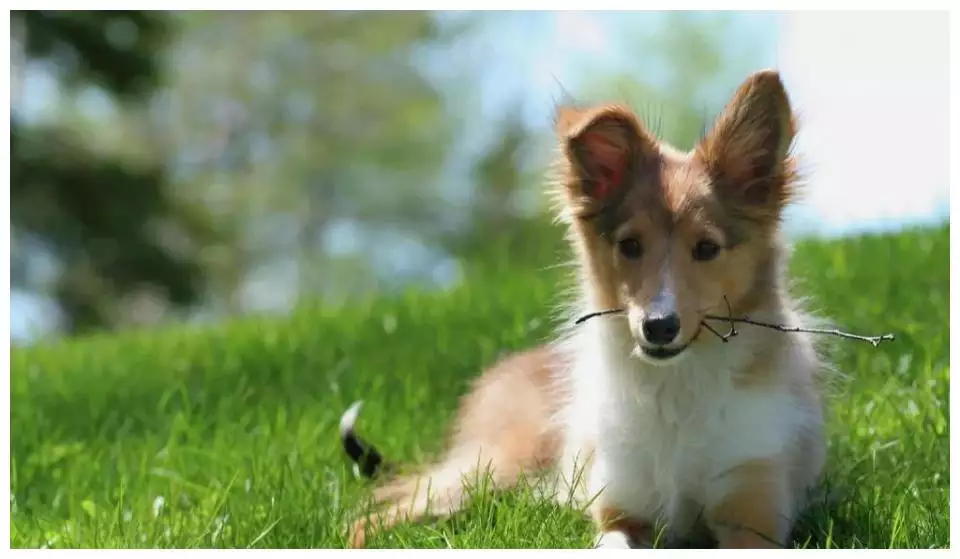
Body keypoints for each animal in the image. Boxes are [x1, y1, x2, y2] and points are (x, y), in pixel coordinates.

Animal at [342, 70, 828, 552]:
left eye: (707, 248)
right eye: (630, 245)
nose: (658, 327)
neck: (675, 389)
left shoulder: (753, 515)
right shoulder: (619, 511)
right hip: (490, 468)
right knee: (374, 513)